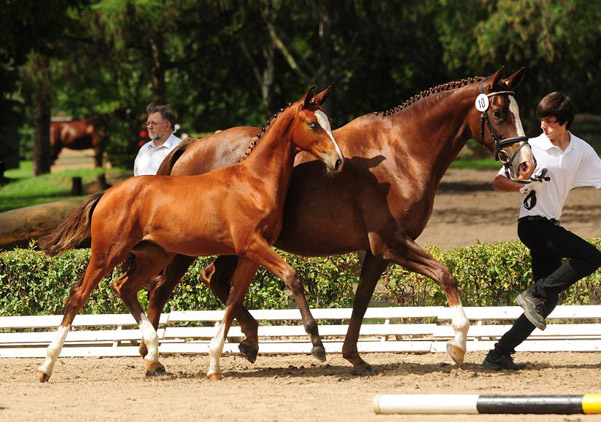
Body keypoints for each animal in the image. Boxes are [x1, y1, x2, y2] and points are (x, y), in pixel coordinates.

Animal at [37, 86, 344, 382]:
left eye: (329, 121)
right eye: (313, 124)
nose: (338, 161)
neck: (254, 183)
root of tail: (106, 194)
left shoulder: (250, 254)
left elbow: (234, 300)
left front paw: (215, 364)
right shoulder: (253, 246)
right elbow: (292, 277)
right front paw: (317, 345)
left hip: (154, 257)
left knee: (126, 287)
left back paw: (153, 354)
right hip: (108, 254)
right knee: (79, 295)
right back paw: (46, 367)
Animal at [146, 67, 540, 376]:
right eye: (500, 112)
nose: (526, 165)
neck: (404, 151)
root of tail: (192, 145)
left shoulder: (377, 251)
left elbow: (362, 301)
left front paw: (354, 357)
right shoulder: (391, 241)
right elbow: (445, 275)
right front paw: (457, 343)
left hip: (234, 247)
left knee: (213, 279)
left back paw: (246, 342)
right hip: (188, 249)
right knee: (162, 290)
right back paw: (155, 359)